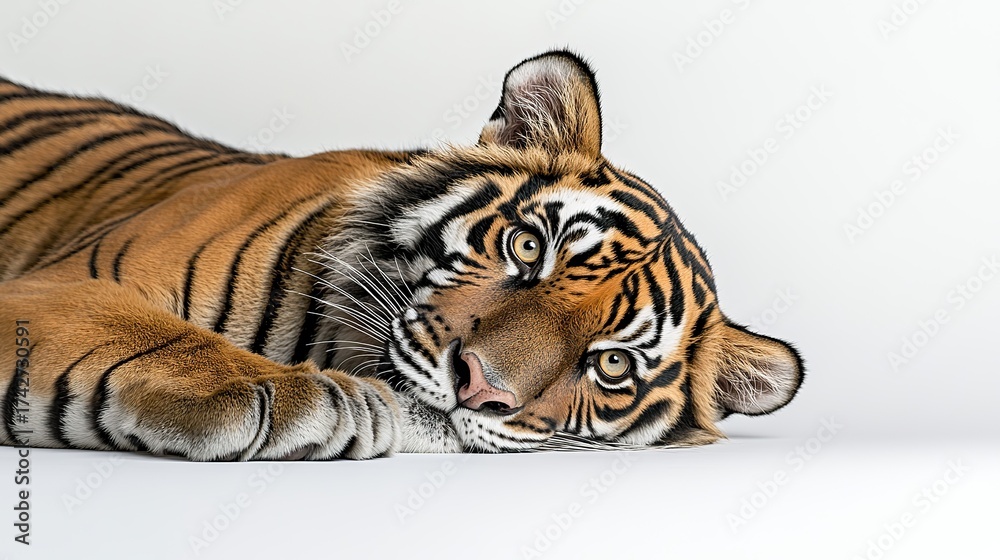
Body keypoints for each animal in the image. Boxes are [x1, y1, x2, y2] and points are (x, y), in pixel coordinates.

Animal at [0, 51, 803, 460]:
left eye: (611, 365)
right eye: (528, 246)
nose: (480, 389)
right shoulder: (62, 285)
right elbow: (151, 334)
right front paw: (299, 398)